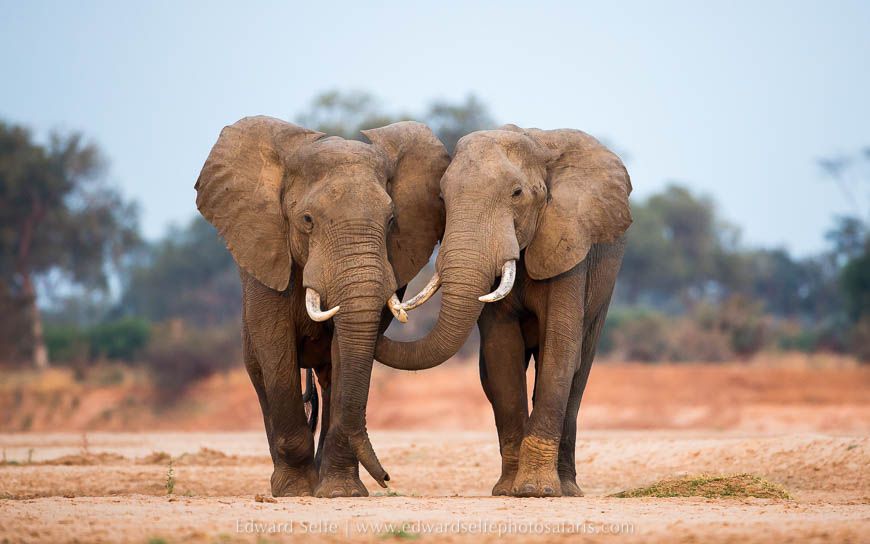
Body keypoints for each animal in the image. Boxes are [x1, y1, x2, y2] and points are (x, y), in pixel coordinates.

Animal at [195, 116, 448, 497]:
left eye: (391, 221)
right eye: (307, 220)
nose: (387, 478)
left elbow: (347, 352)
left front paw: (342, 492)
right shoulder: (266, 256)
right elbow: (276, 348)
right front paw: (294, 491)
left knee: (328, 378)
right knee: (261, 375)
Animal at [375, 124, 632, 497]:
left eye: (517, 193)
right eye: (442, 198)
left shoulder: (569, 243)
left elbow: (560, 348)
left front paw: (537, 490)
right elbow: (501, 355)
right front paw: (510, 490)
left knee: (578, 371)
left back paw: (568, 488)